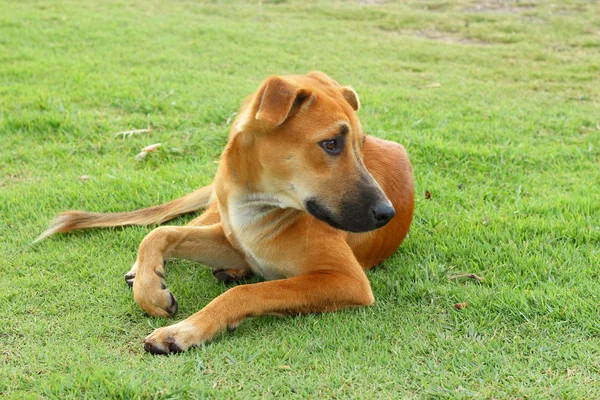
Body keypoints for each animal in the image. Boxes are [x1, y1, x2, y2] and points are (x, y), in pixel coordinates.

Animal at [37, 71, 412, 354]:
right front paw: (150, 289)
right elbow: (161, 233)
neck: (258, 202)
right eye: (331, 143)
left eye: (360, 145)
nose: (387, 213)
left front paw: (183, 330)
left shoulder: (348, 281)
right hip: (215, 209)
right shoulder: (234, 240)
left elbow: (249, 292)